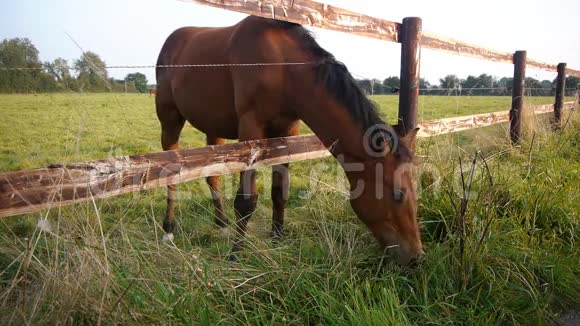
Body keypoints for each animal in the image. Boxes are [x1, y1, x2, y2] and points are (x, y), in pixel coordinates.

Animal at [156, 15, 424, 264]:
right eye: (398, 194)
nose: (415, 257)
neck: (283, 67)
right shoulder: (251, 131)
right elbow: (246, 201)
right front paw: (235, 255)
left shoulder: (288, 133)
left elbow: (279, 191)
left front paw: (277, 238)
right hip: (170, 120)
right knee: (172, 173)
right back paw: (168, 229)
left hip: (215, 130)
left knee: (213, 176)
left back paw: (221, 223)